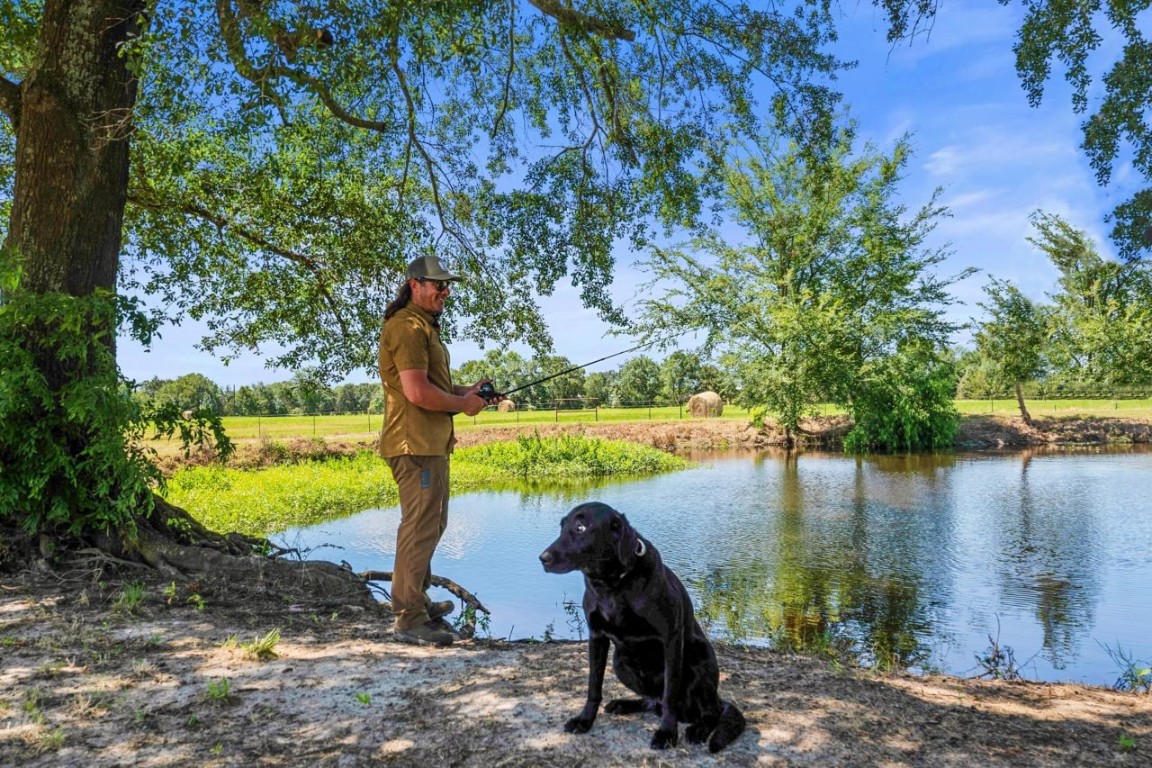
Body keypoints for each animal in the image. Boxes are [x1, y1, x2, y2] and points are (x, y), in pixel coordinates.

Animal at [539, 504, 746, 750]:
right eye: (562, 526)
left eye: (581, 527)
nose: (543, 558)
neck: (612, 585)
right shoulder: (597, 637)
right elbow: (593, 686)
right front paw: (585, 720)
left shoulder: (671, 638)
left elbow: (669, 694)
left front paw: (667, 733)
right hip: (620, 663)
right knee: (652, 701)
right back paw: (624, 704)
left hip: (700, 655)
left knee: (707, 710)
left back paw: (698, 729)